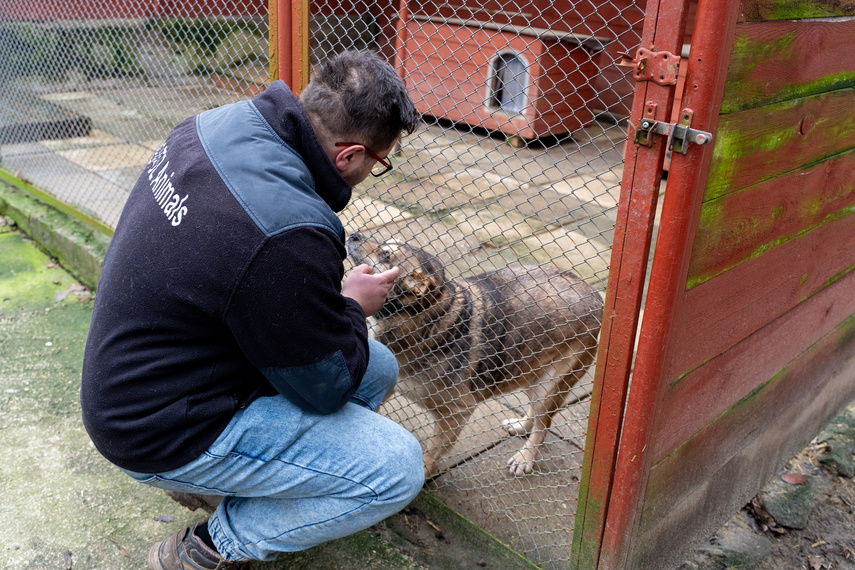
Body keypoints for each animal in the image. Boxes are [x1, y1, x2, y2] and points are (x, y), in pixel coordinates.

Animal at [344, 231, 604, 474]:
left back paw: (525, 458)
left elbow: (430, 454)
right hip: (531, 374)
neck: (422, 317)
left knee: (544, 426)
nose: (353, 234)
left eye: (386, 255)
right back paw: (520, 426)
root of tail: (597, 296)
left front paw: (424, 476)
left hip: (548, 386)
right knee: (536, 415)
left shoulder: (457, 412)